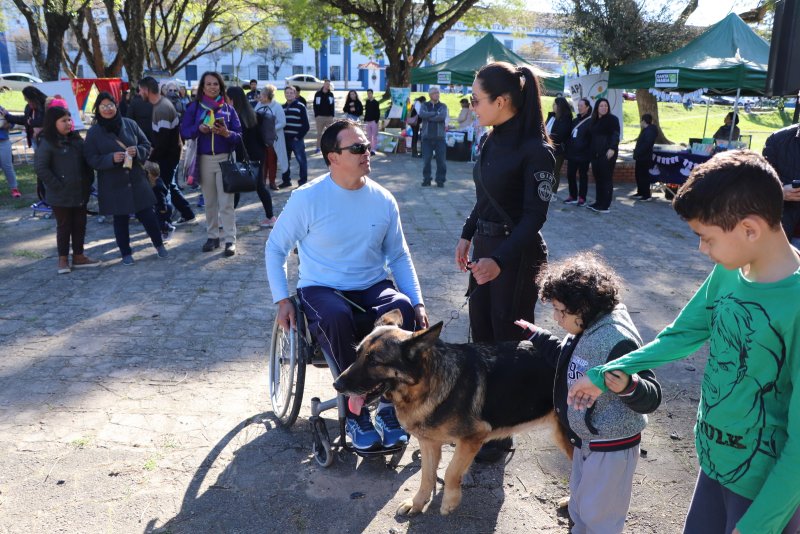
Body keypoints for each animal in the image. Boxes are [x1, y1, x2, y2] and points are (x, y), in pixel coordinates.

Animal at [332, 312, 568, 516]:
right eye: (357, 354)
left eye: (374, 361)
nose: (337, 385)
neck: (427, 383)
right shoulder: (428, 443)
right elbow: (427, 477)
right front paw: (417, 504)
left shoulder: (472, 439)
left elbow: (451, 471)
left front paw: (450, 502)